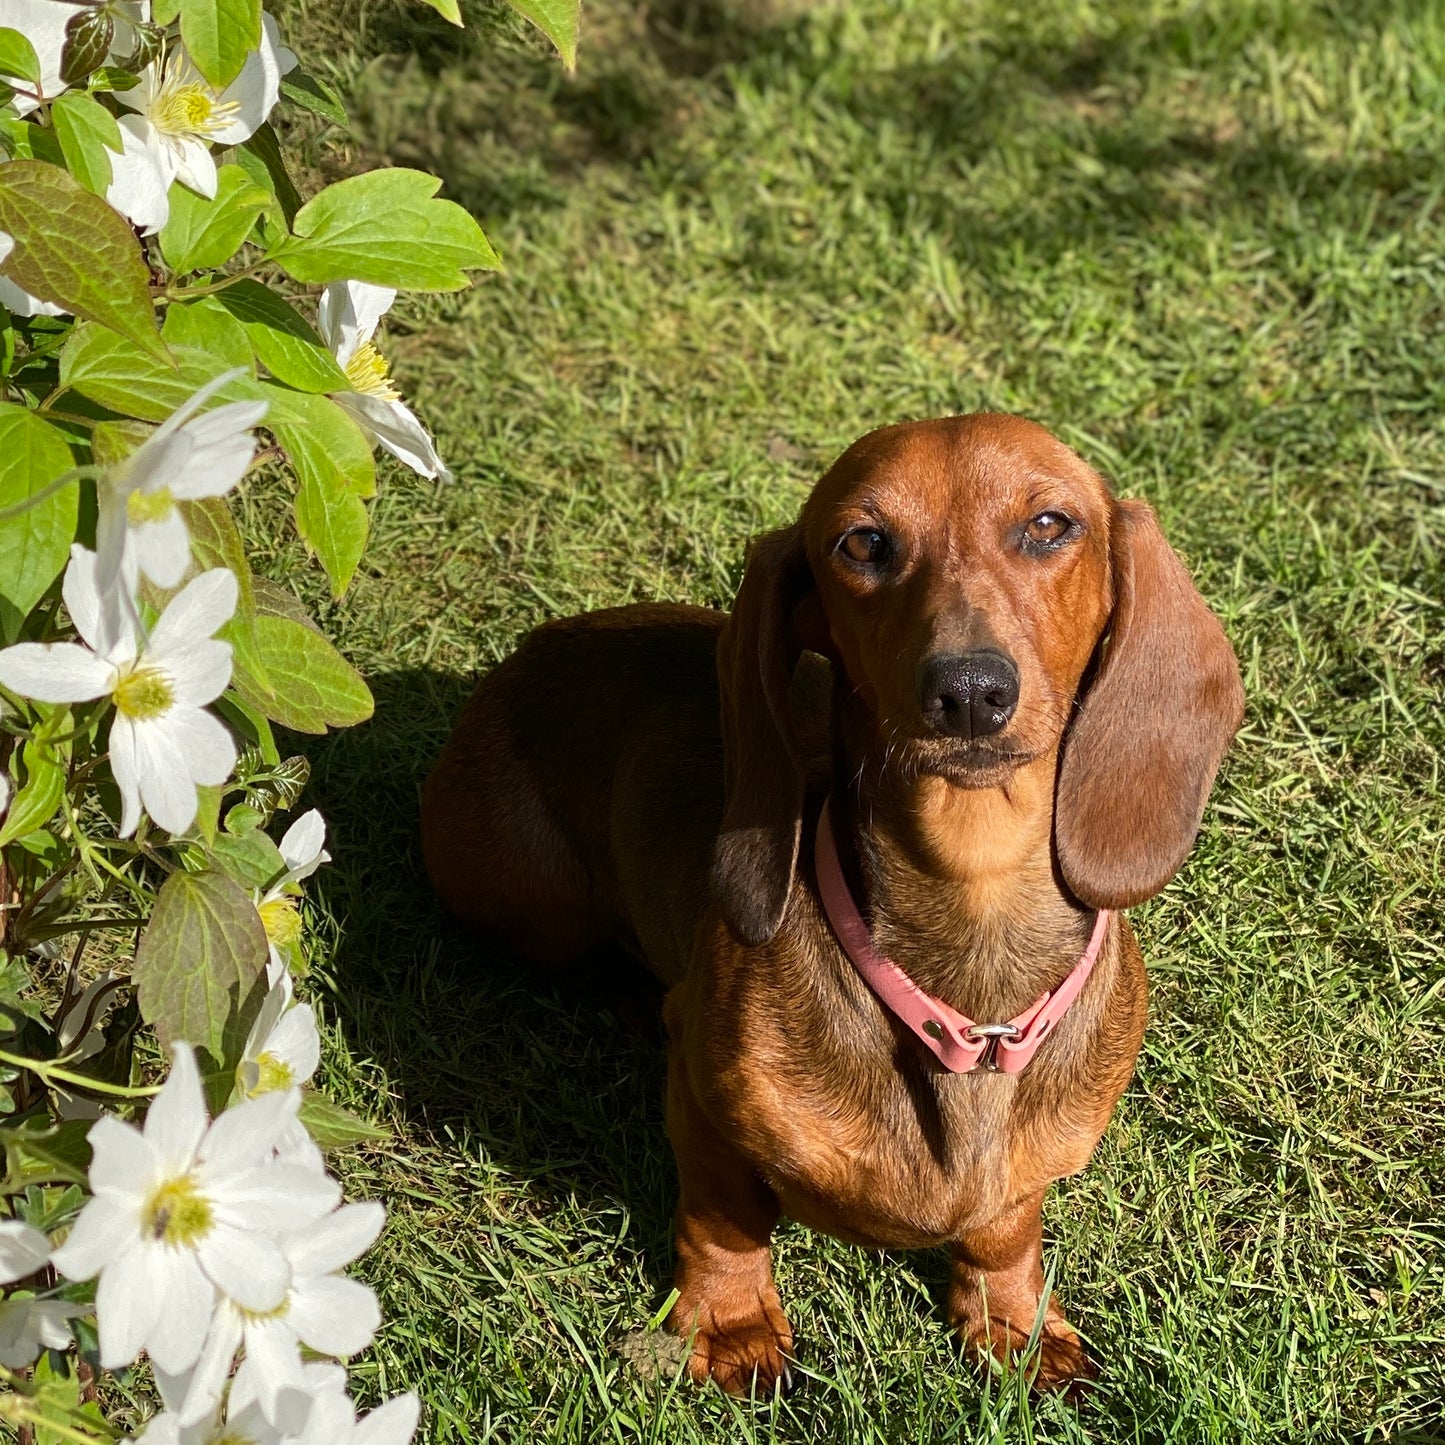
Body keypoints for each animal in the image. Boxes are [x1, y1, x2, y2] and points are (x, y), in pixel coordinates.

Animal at [421, 413, 1242, 1392]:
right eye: (862, 542)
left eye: (1049, 525)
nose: (969, 690)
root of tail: (524, 651)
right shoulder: (706, 1113)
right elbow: (723, 1215)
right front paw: (732, 1321)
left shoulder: (1025, 1179)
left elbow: (1005, 1228)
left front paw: (1014, 1320)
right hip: (530, 903)